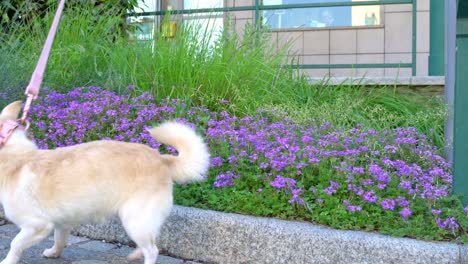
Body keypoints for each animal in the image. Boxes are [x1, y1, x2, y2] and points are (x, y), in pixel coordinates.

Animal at [0, 101, 210, 264]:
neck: (15, 155)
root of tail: (162, 159)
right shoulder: (62, 222)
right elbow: (60, 239)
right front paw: (54, 253)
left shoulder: (37, 225)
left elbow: (15, 243)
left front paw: (8, 260)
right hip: (140, 222)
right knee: (149, 243)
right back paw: (135, 254)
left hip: (134, 220)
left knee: (152, 250)